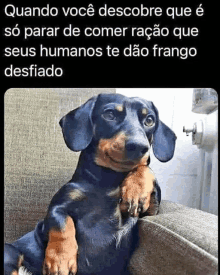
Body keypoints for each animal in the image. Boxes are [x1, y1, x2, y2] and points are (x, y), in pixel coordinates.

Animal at [4, 93, 177, 275]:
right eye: (109, 114)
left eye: (149, 120)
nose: (139, 146)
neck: (108, 180)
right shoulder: (57, 207)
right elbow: (62, 225)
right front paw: (60, 260)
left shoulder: (149, 212)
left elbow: (145, 168)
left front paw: (135, 190)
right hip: (10, 252)